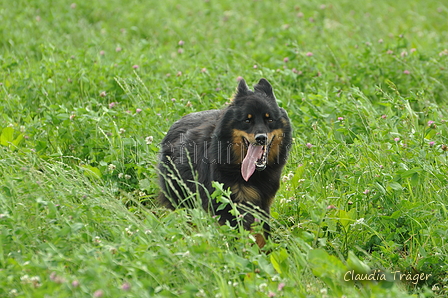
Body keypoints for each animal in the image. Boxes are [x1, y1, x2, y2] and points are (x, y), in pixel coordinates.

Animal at [159, 78, 292, 248]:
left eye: (269, 119)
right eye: (247, 120)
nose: (261, 138)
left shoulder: (262, 204)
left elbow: (262, 236)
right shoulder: (226, 206)